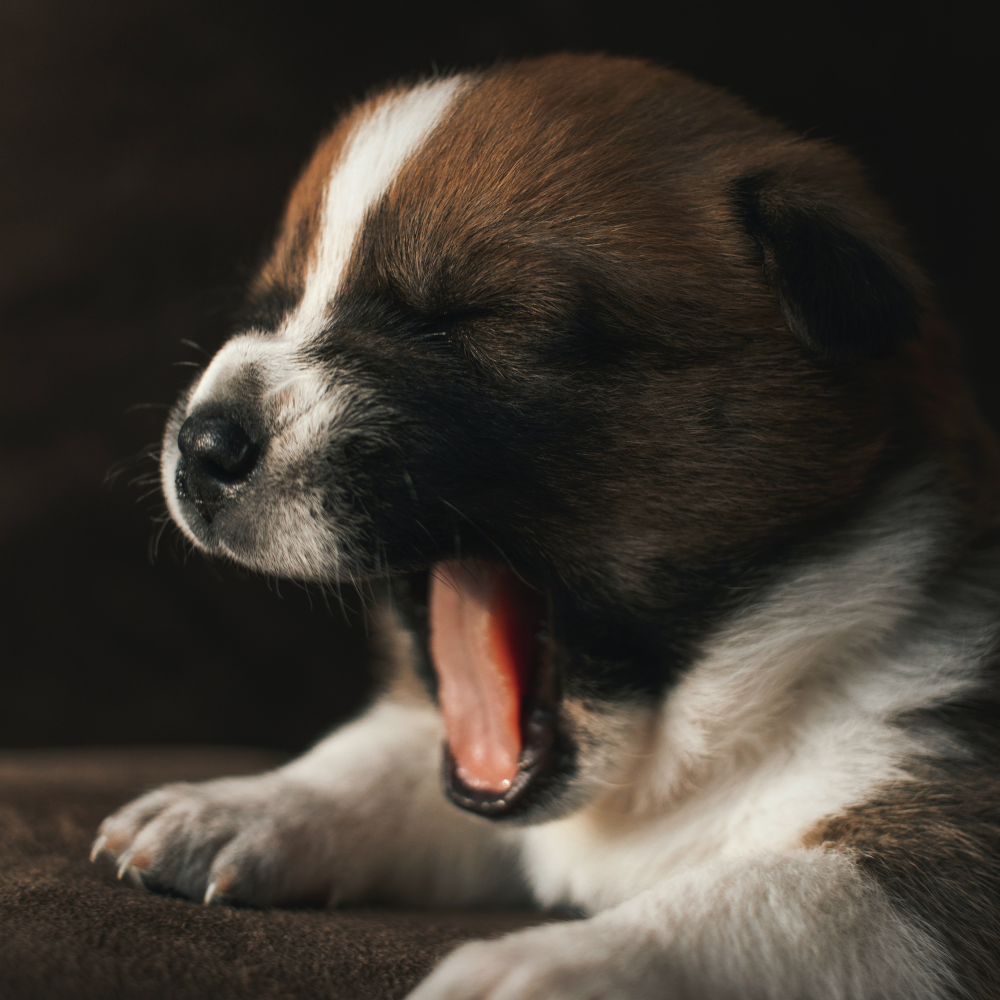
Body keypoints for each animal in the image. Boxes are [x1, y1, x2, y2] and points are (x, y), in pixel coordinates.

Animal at [92, 56, 1000, 1000]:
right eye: (273, 305)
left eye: (468, 319)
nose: (204, 445)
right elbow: (384, 752)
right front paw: (238, 805)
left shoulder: (951, 830)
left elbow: (768, 902)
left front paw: (546, 965)